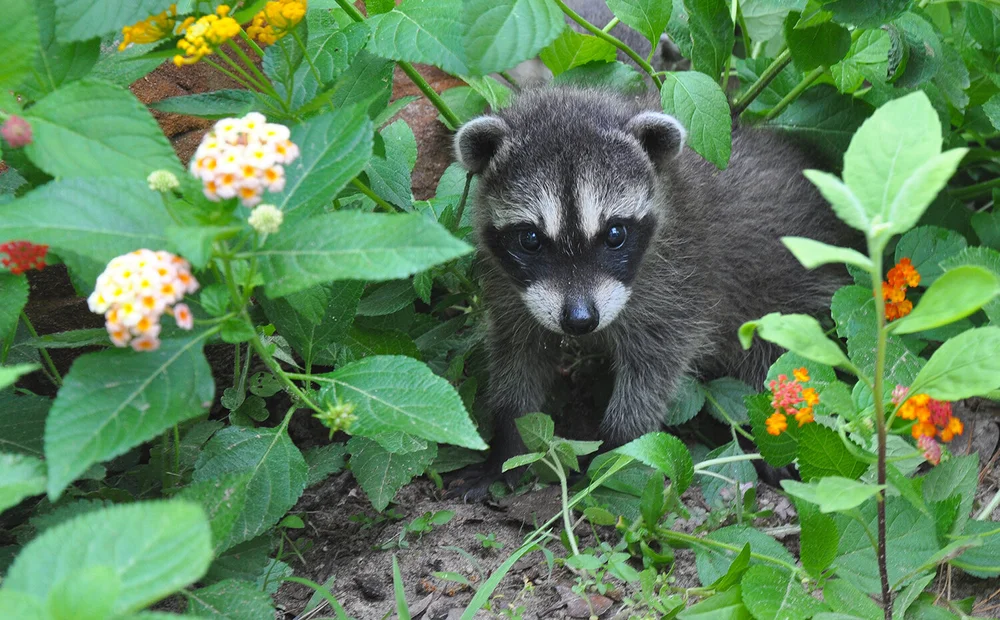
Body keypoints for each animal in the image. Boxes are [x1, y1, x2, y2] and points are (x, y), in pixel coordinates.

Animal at [452, 87, 853, 497]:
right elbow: (517, 355)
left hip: (785, 296)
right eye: (530, 239)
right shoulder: (510, 288)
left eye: (614, 233)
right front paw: (507, 443)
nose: (580, 320)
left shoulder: (682, 276)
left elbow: (654, 369)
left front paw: (616, 450)